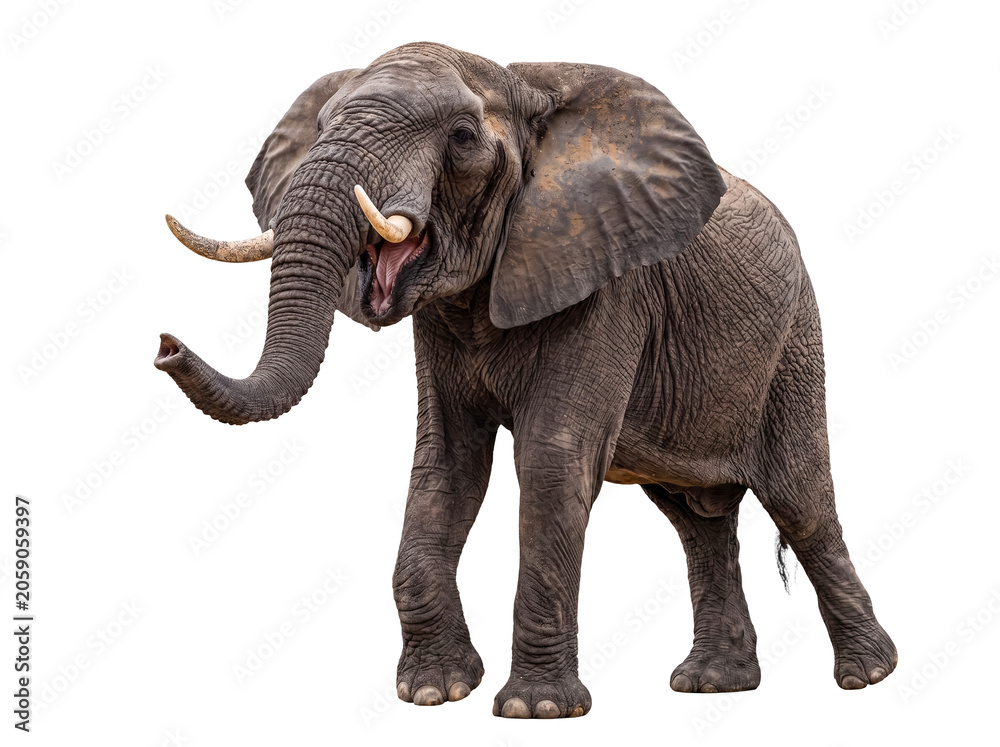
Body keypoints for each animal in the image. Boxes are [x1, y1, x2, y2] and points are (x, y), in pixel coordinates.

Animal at [155, 42, 897, 718]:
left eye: (461, 137)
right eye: (324, 127)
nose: (164, 345)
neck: (521, 88)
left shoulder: (609, 282)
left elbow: (551, 461)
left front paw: (534, 708)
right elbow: (445, 466)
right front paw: (433, 693)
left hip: (793, 343)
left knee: (801, 499)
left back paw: (867, 677)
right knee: (697, 520)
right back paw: (712, 685)